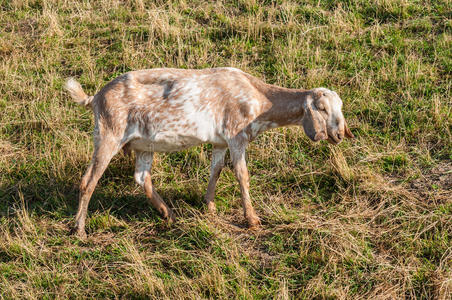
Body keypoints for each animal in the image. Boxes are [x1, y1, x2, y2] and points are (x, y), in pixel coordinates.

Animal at [64, 67, 354, 238]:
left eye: (340, 108)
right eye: (322, 108)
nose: (339, 135)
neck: (260, 99)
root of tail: (96, 96)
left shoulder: (220, 142)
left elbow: (216, 169)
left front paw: (210, 206)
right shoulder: (236, 136)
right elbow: (241, 174)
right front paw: (252, 219)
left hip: (143, 145)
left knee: (141, 177)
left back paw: (168, 213)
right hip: (109, 134)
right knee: (88, 180)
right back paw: (79, 229)